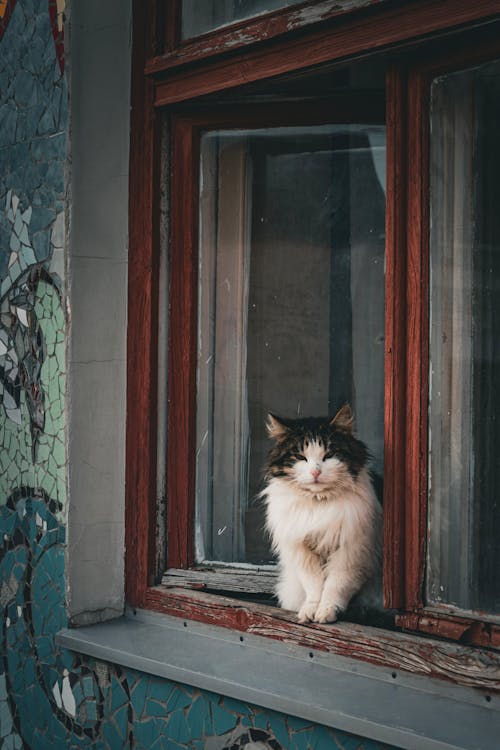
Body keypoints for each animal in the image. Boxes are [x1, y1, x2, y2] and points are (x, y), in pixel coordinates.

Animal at [264, 408, 380, 624]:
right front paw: (310, 610)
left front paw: (326, 611)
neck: (318, 503)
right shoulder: (302, 551)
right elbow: (314, 585)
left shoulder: (351, 551)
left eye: (329, 455)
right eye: (300, 457)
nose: (315, 472)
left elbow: (335, 585)